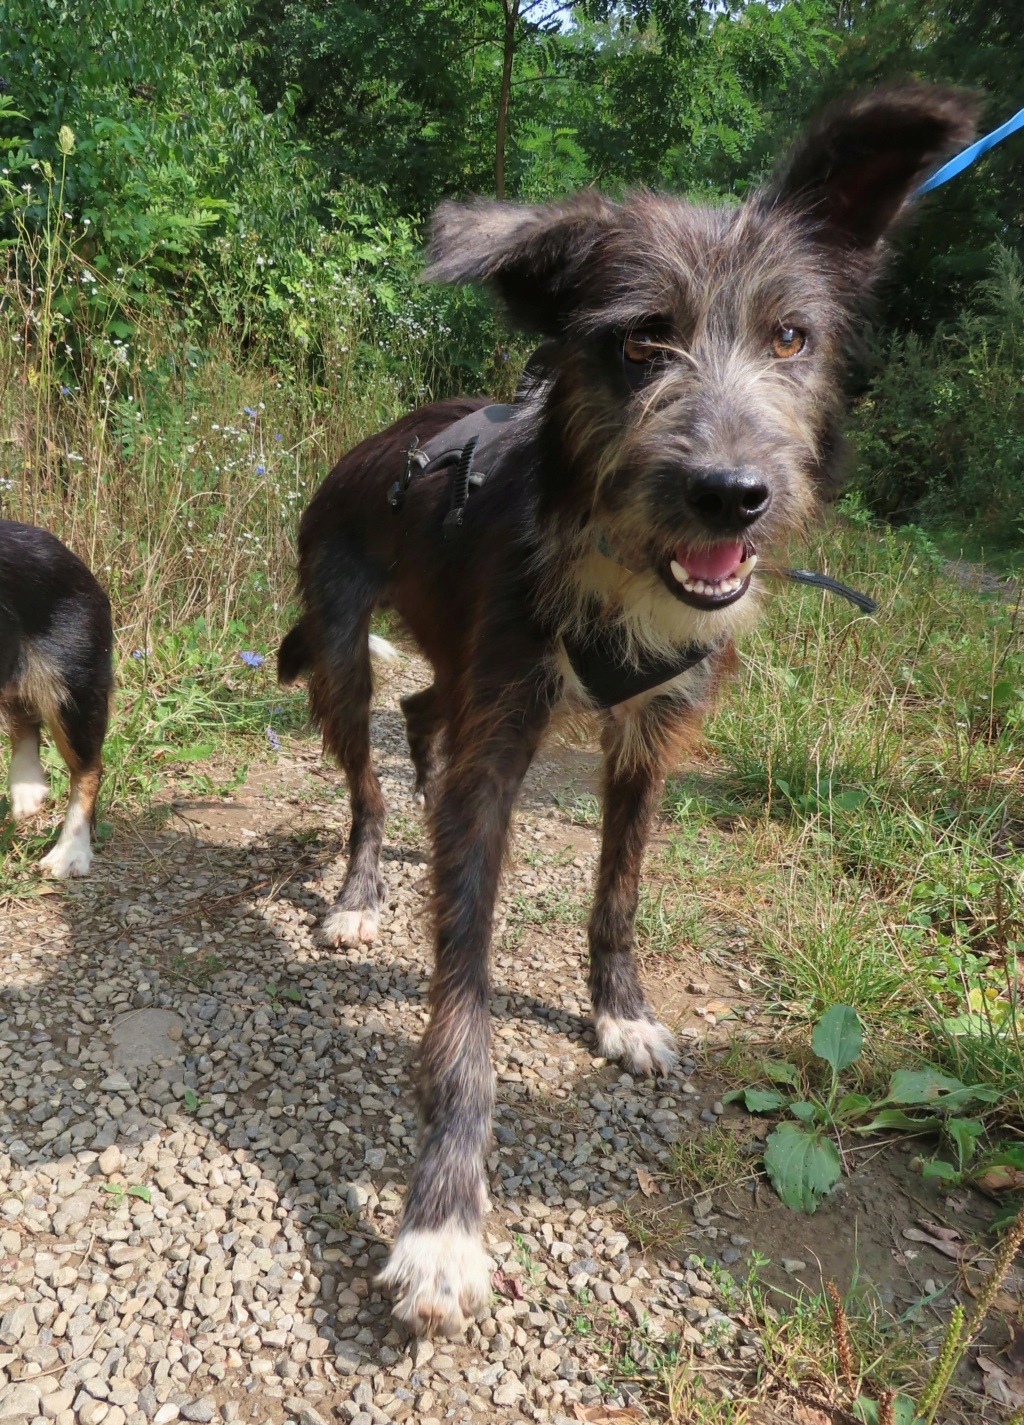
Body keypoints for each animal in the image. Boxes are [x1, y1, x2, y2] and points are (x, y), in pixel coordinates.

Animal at [280, 86, 979, 1333]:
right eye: (640, 340)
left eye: (790, 337)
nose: (731, 494)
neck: (612, 555)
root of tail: (370, 447)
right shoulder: (499, 753)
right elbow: (462, 1008)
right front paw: (441, 1225)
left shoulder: (646, 739)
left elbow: (617, 893)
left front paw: (620, 1012)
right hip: (339, 645)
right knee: (367, 774)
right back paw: (360, 892)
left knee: (423, 714)